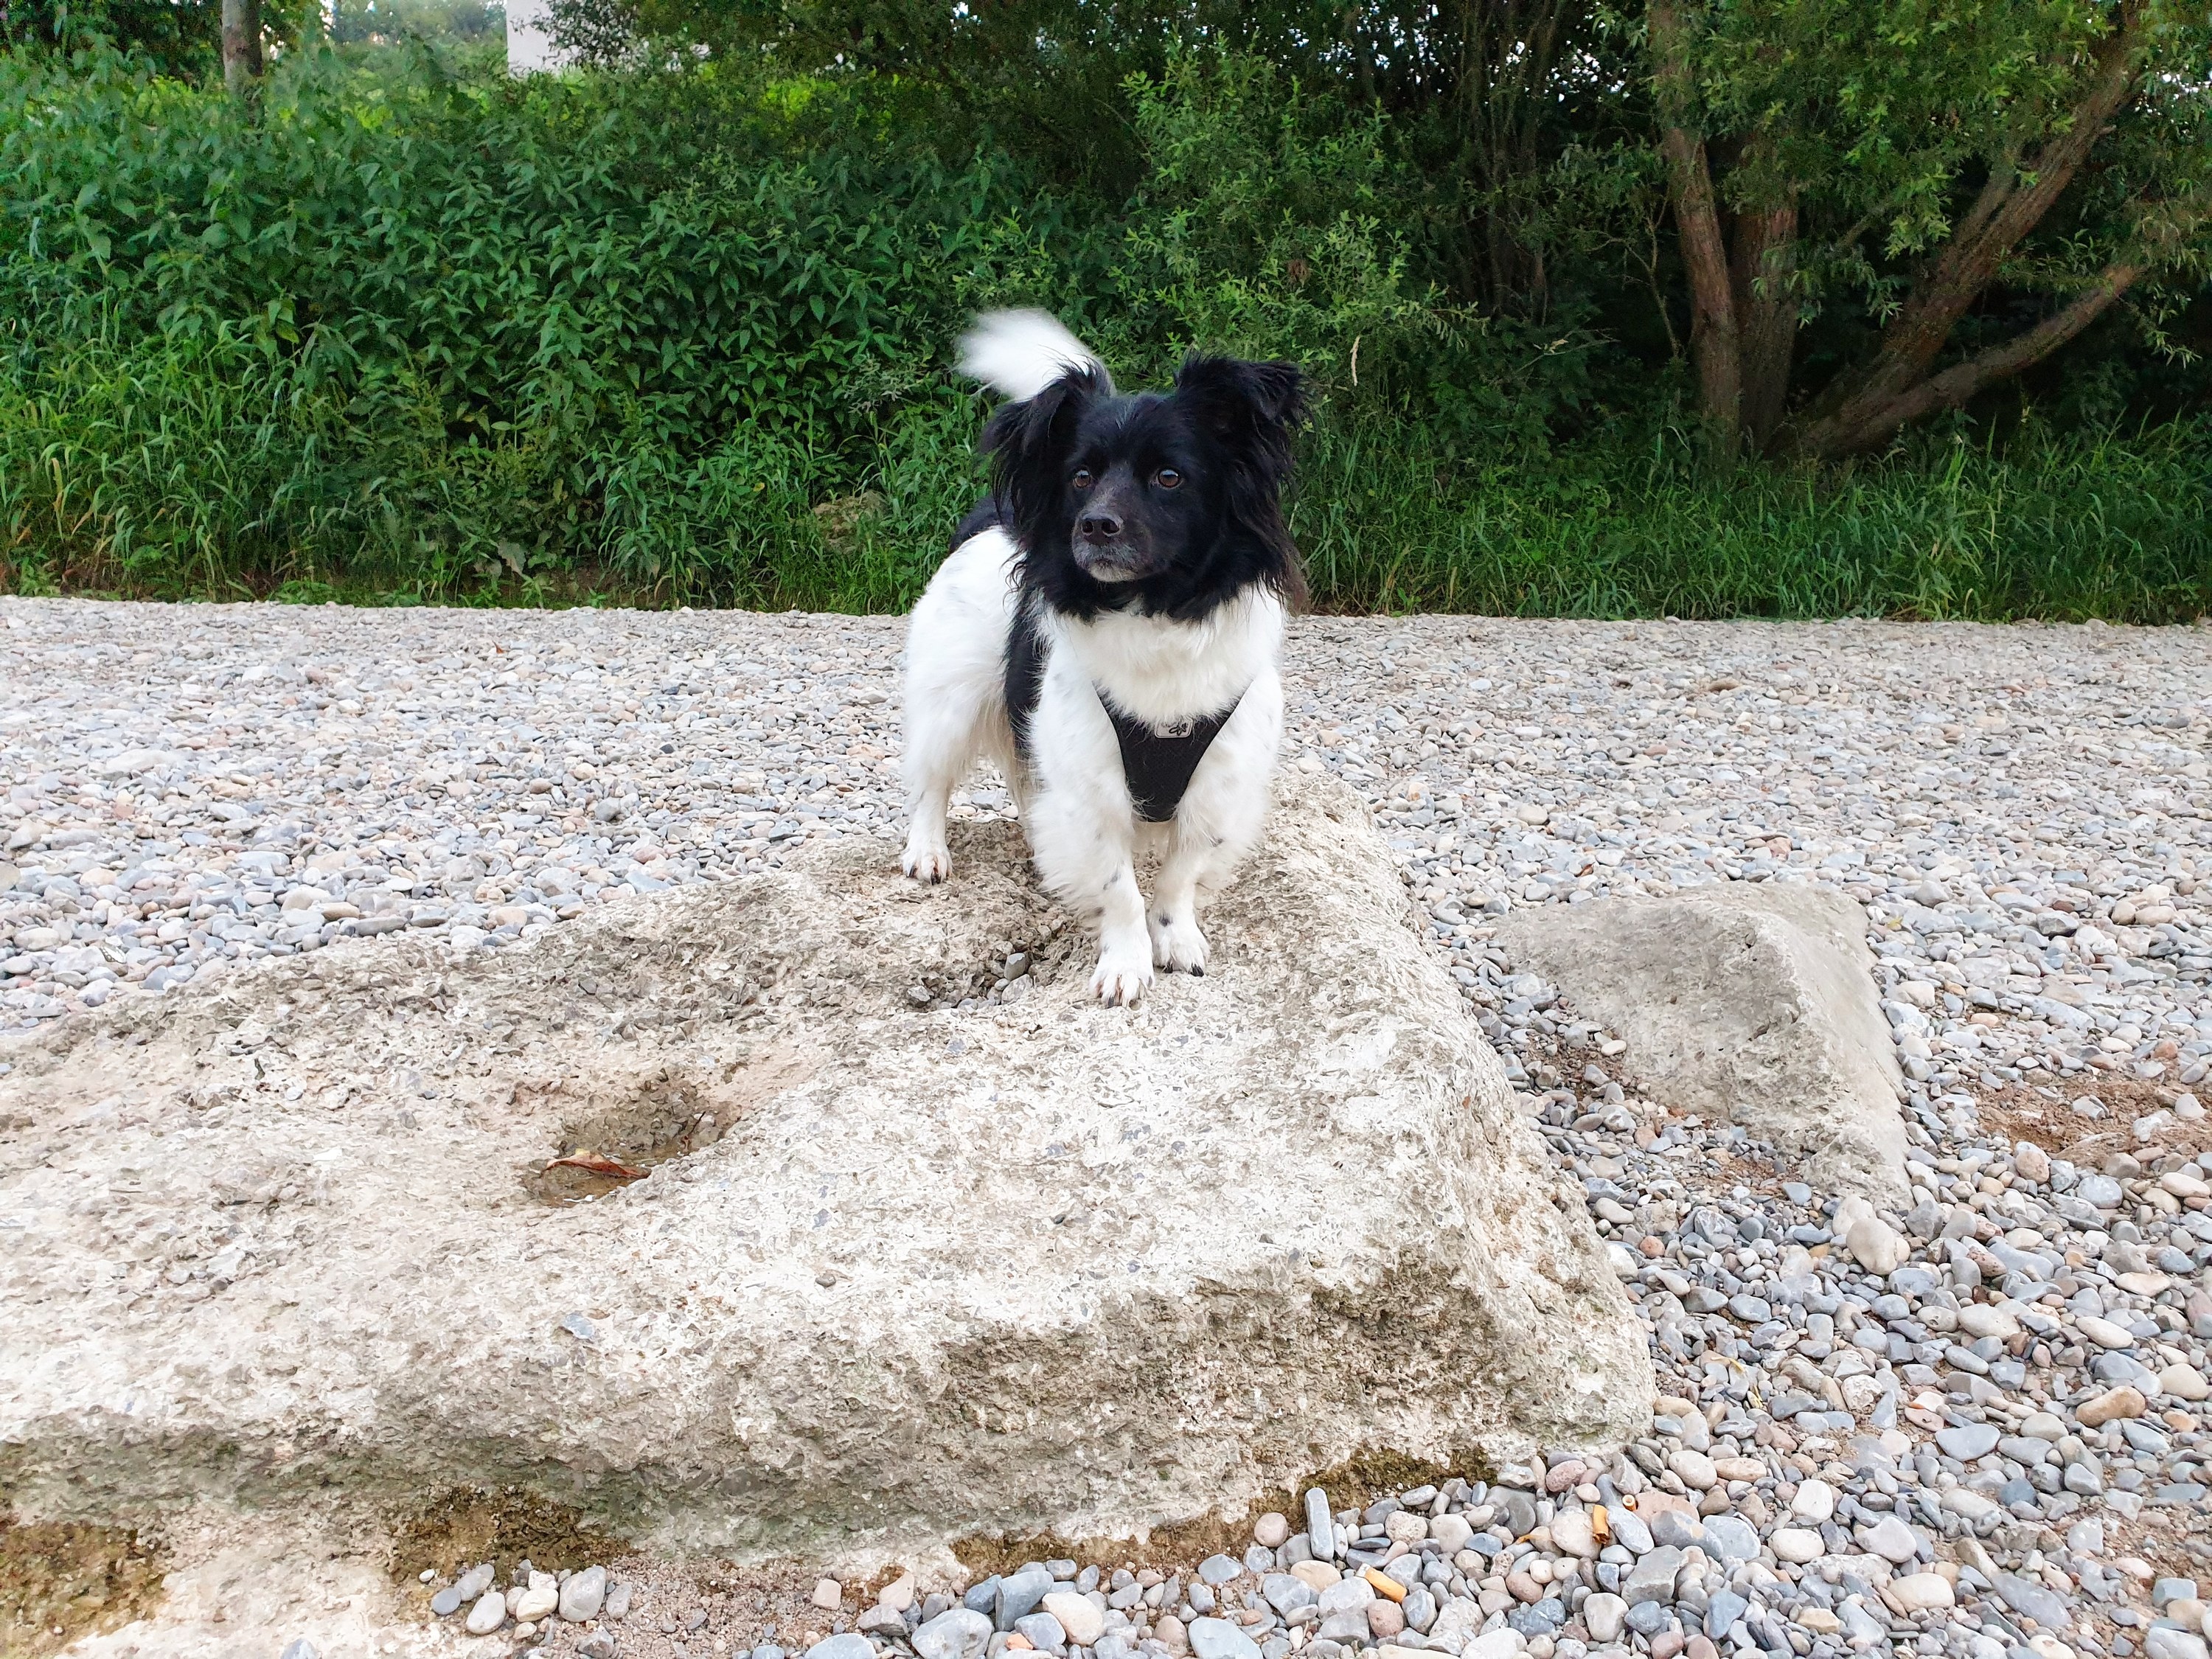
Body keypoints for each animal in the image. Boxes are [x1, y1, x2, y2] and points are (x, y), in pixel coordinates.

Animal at [898, 316, 1301, 1009]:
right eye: (1081, 477)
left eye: (1170, 477)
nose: (1095, 524)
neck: (1152, 614)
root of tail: (995, 514)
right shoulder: (1090, 785)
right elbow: (1119, 889)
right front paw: (1126, 963)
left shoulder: (1219, 784)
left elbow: (1179, 875)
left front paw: (1176, 937)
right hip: (951, 700)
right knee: (933, 778)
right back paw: (927, 851)